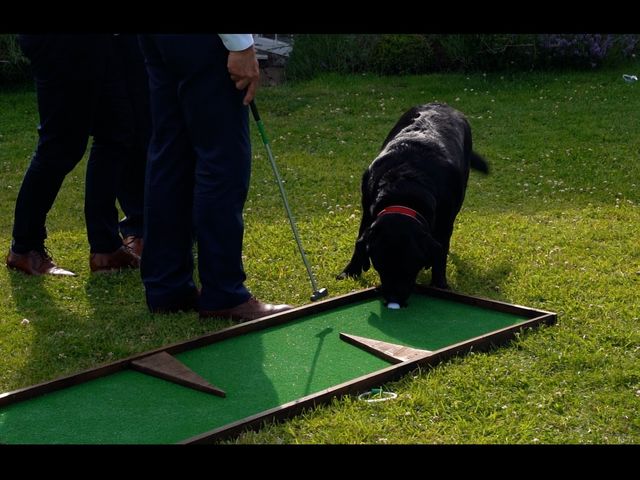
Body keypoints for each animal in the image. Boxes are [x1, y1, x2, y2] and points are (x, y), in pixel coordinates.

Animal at [338, 102, 488, 306]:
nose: (393, 299)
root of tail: (442, 104)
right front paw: (350, 271)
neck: (405, 188)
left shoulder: (445, 221)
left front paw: (439, 283)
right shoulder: (367, 209)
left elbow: (441, 251)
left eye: (410, 267)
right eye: (380, 265)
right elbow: (359, 240)